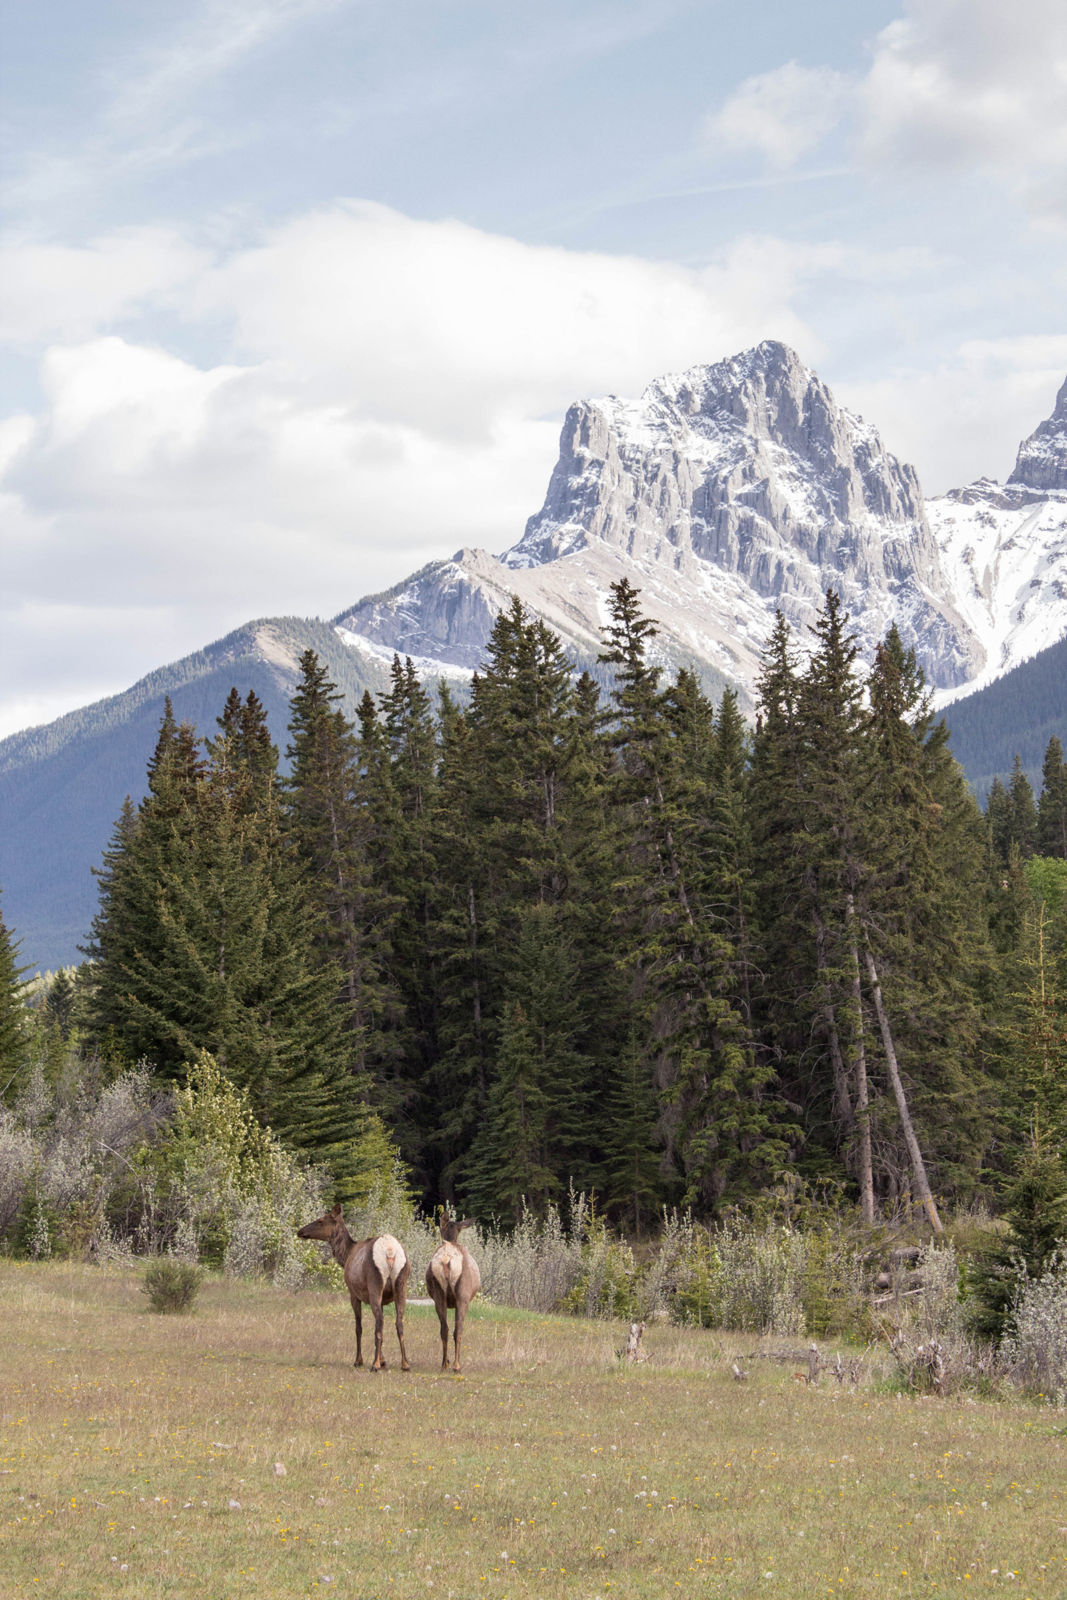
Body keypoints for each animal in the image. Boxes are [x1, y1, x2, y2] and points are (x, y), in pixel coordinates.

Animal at [297, 1203, 411, 1373]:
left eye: (320, 1220)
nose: (300, 1231)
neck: (345, 1257)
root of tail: (390, 1251)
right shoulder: (383, 1299)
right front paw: (383, 1360)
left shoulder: (353, 1293)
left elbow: (358, 1327)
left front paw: (359, 1360)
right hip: (401, 1284)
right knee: (398, 1322)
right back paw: (405, 1364)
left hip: (375, 1283)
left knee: (379, 1323)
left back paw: (374, 1365)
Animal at [426, 1211, 481, 1374]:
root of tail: (447, 1259)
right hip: (463, 1295)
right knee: (458, 1330)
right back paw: (456, 1365)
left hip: (438, 1294)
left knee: (444, 1329)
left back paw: (445, 1363)